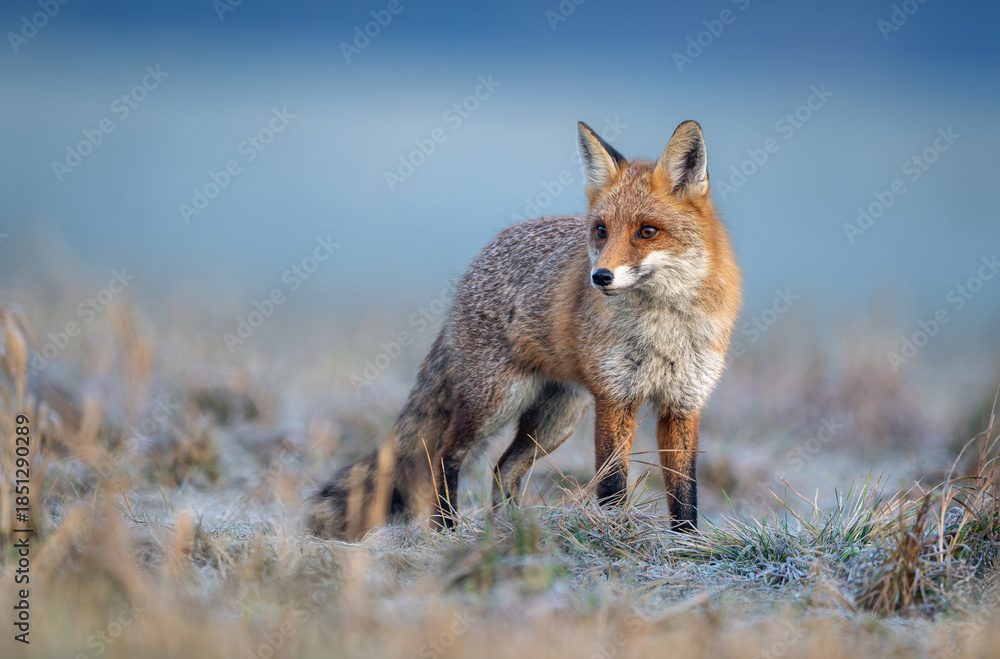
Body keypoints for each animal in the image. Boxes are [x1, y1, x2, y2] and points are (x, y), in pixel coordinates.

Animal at [308, 119, 741, 540]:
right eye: (601, 230)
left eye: (647, 231)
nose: (600, 277)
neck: (662, 330)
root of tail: (481, 256)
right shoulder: (615, 398)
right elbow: (612, 485)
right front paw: (615, 534)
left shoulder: (682, 404)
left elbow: (685, 492)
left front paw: (686, 546)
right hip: (496, 401)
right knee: (445, 455)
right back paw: (448, 531)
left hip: (555, 419)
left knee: (504, 468)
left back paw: (510, 529)